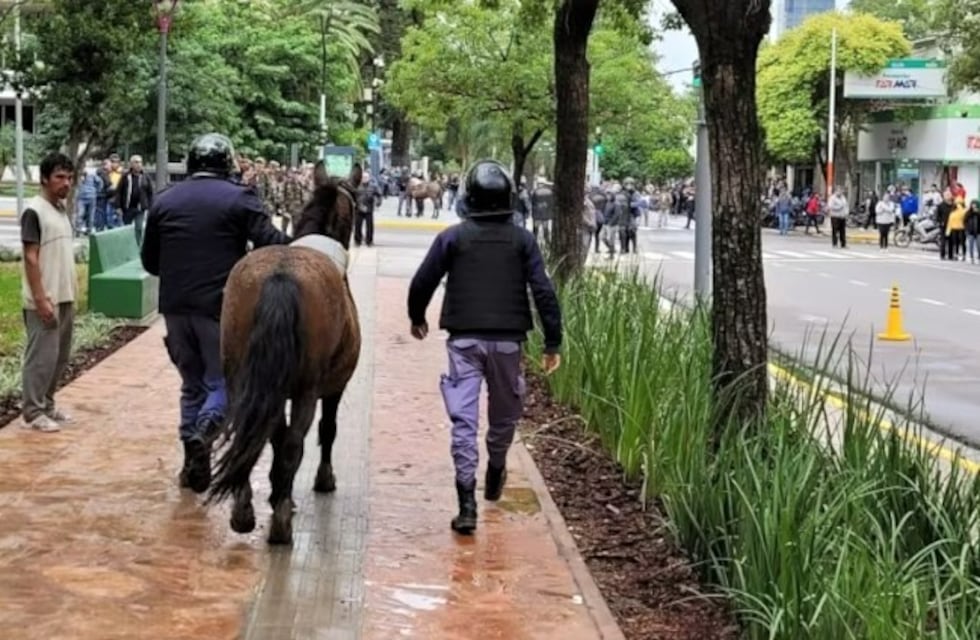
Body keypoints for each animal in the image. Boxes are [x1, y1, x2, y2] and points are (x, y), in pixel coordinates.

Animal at [207, 160, 362, 545]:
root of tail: (281, 275)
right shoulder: (334, 387)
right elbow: (327, 430)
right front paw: (319, 481)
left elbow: (274, 437)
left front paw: (280, 492)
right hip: (306, 388)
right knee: (294, 441)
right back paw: (279, 524)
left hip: (245, 377)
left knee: (252, 431)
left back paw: (244, 510)